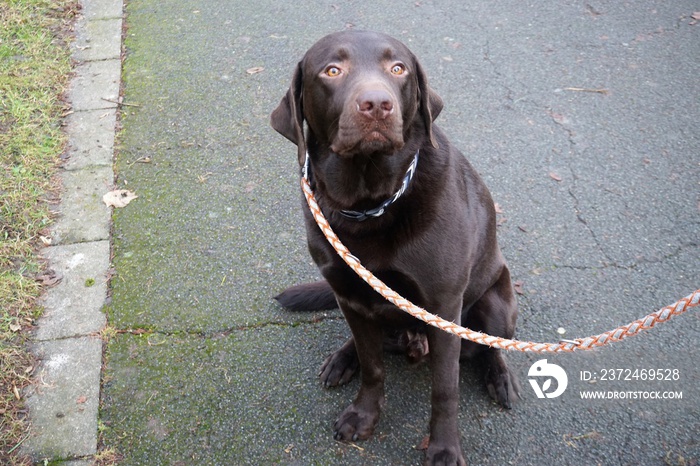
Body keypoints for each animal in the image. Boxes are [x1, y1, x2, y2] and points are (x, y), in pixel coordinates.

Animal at [270, 30, 516, 466]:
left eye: (398, 68)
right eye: (332, 70)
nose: (376, 105)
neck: (369, 203)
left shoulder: (443, 306)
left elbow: (445, 389)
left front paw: (444, 448)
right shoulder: (351, 296)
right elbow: (373, 367)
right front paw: (363, 415)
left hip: (494, 302)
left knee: (493, 344)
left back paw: (500, 377)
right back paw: (342, 358)